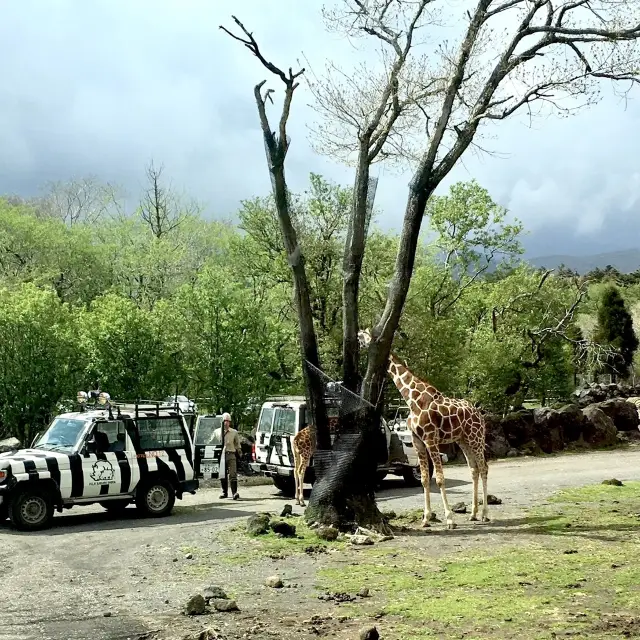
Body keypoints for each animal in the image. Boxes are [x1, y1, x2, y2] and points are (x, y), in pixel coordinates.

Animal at [358, 328, 488, 528]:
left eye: (362, 336)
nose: (358, 340)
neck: (412, 399)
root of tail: (480, 414)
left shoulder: (430, 439)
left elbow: (440, 479)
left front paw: (450, 519)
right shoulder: (417, 441)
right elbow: (425, 479)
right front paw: (426, 518)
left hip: (476, 438)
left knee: (484, 468)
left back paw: (484, 514)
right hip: (463, 440)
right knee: (474, 470)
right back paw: (473, 514)